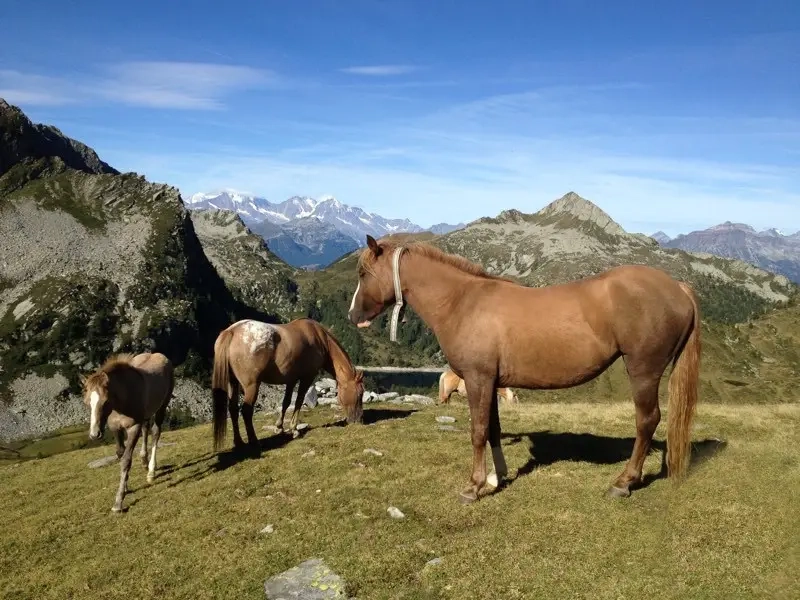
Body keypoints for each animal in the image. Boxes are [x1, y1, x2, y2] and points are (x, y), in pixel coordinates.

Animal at [80, 354, 174, 512]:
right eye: (87, 403)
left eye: (105, 401)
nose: (94, 434)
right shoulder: (115, 428)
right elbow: (120, 453)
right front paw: (125, 487)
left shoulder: (133, 428)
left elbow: (126, 460)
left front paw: (118, 502)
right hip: (145, 414)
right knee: (146, 427)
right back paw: (144, 461)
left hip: (163, 405)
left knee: (155, 432)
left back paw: (151, 471)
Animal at [209, 318, 366, 450]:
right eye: (360, 393)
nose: (358, 420)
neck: (320, 339)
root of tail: (232, 331)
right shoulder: (307, 378)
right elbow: (298, 401)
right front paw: (294, 429)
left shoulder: (291, 380)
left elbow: (286, 402)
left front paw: (279, 427)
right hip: (251, 386)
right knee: (246, 411)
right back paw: (254, 442)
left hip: (233, 383)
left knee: (233, 410)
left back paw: (239, 442)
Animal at [346, 237, 696, 504]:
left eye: (364, 272)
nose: (352, 316)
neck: (462, 302)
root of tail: (677, 287)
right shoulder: (491, 382)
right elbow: (493, 430)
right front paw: (496, 477)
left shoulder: (478, 379)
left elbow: (477, 432)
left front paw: (473, 487)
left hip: (643, 370)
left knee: (647, 421)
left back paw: (624, 482)